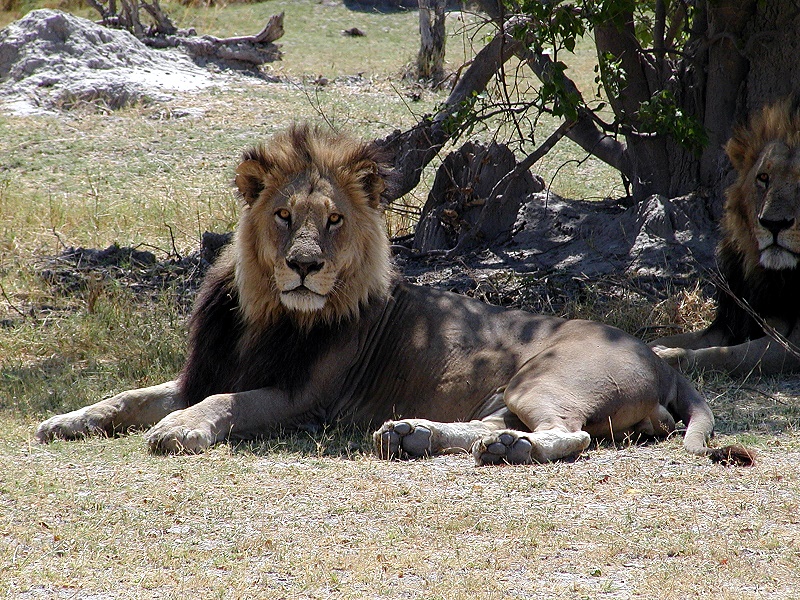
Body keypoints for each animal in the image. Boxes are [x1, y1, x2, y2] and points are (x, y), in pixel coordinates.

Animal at [34, 124, 752, 466]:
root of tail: (662, 360)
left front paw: (179, 429)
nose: (304, 267)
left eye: (334, 221)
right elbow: (128, 395)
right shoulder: (200, 371)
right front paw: (64, 420)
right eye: (284, 216)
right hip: (508, 392)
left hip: (546, 377)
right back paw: (411, 435)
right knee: (497, 424)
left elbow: (226, 403)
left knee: (565, 436)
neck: (266, 313)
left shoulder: (303, 399)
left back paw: (505, 452)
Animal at [648, 101, 800, 378]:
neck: (772, 277)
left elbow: (727, 356)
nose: (774, 224)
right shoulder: (732, 323)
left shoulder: (795, 343)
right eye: (763, 178)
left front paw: (667, 357)